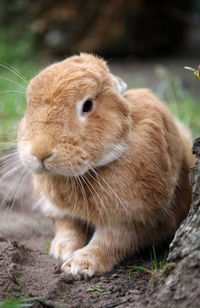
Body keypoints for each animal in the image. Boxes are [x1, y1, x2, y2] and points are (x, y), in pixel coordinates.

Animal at [17, 53, 195, 280]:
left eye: (87, 105)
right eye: (28, 103)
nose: (40, 152)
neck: (87, 172)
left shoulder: (132, 221)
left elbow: (109, 243)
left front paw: (79, 266)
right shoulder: (59, 211)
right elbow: (68, 227)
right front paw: (61, 250)